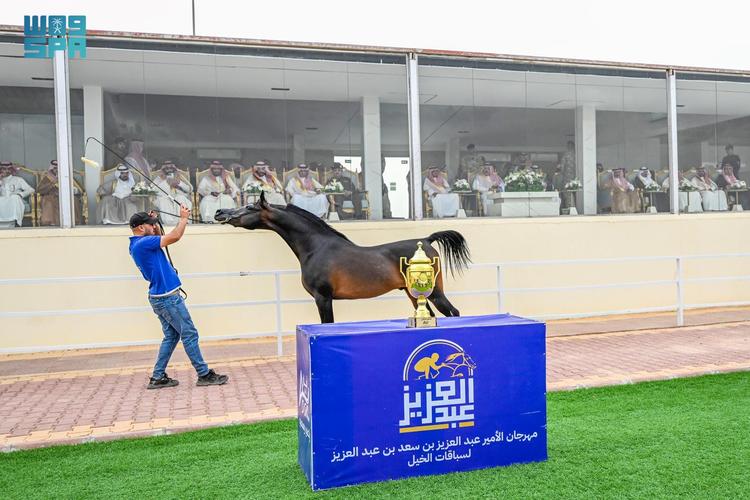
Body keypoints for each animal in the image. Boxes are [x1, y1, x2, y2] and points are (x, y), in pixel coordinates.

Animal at [214, 192, 471, 323]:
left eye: (250, 207)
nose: (220, 213)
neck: (316, 247)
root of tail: (426, 240)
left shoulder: (323, 298)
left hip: (434, 292)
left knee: (453, 313)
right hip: (414, 294)